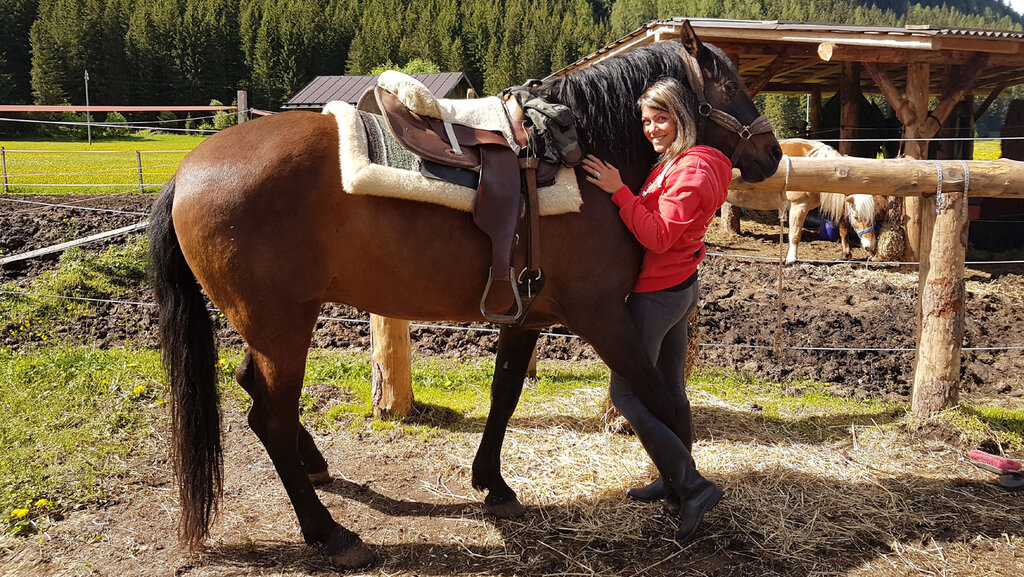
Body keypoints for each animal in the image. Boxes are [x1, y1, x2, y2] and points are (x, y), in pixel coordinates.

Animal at [149, 21, 781, 568]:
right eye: (730, 86)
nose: (773, 154)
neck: (579, 152)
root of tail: (185, 172)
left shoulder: (527, 316)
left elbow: (505, 394)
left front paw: (493, 484)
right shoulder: (601, 314)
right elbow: (659, 397)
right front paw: (689, 494)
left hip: (269, 326)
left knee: (253, 388)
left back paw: (318, 467)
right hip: (282, 325)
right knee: (270, 416)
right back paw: (330, 533)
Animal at [726, 138, 886, 263]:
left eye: (874, 217)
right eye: (857, 217)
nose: (871, 246)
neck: (816, 169)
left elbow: (843, 229)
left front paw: (846, 253)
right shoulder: (799, 206)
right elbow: (795, 234)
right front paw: (791, 259)